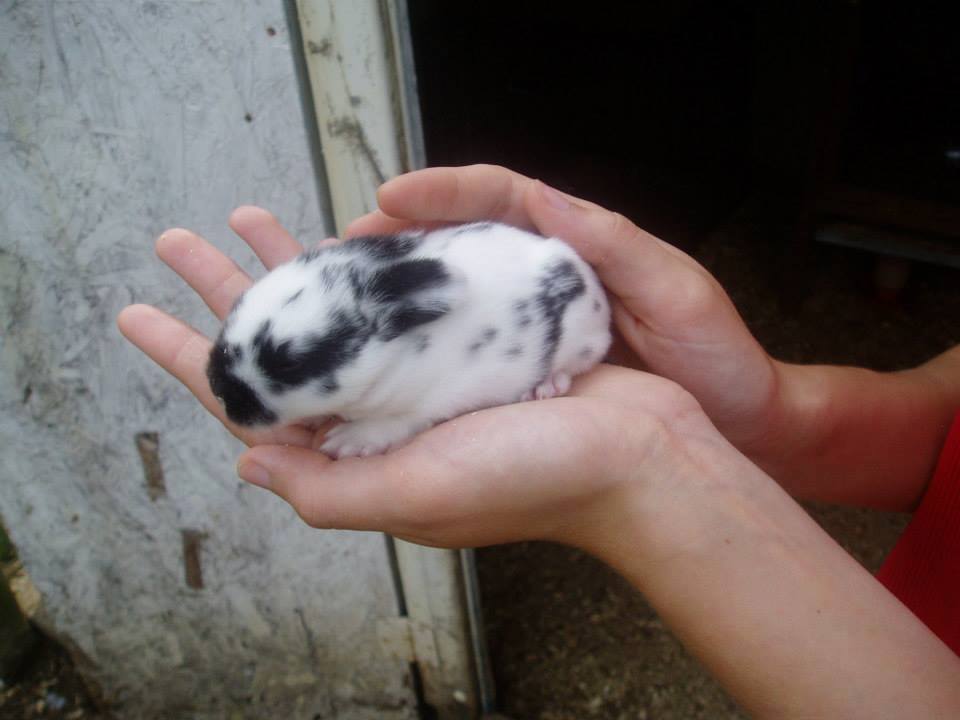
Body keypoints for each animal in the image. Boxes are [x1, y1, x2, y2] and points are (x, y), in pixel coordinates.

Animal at [206, 221, 611, 458]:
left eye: (290, 362)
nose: (220, 391)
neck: (395, 358)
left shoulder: (420, 407)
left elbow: (391, 425)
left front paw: (344, 441)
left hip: (580, 339)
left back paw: (545, 386)